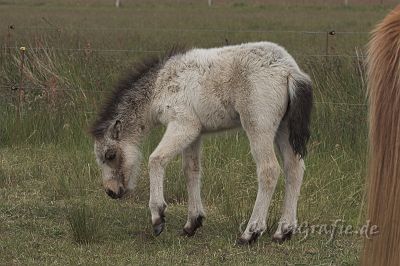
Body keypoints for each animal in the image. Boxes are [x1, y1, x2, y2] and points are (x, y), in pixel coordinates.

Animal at [90, 42, 312, 245]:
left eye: (110, 155)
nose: (111, 191)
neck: (160, 86)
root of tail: (290, 70)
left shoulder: (184, 125)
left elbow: (156, 159)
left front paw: (158, 216)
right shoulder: (195, 134)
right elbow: (191, 170)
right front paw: (192, 223)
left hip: (258, 126)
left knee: (269, 170)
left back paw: (250, 233)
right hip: (283, 128)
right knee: (294, 168)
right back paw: (283, 232)